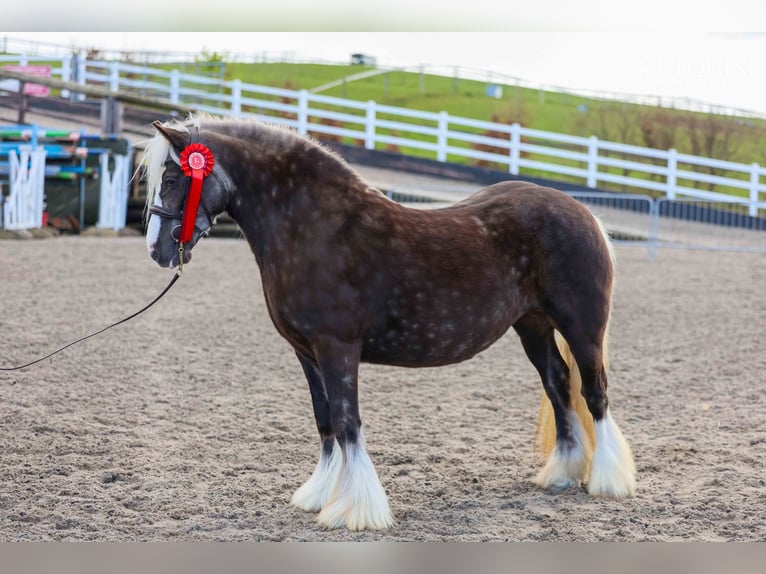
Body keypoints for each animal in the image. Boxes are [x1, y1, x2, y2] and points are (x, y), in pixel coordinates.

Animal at [142, 113, 636, 531]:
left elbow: (347, 421)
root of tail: (585, 214)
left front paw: (357, 510)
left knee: (594, 392)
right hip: (533, 325)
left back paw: (607, 480)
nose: (157, 250)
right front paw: (320, 495)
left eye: (172, 178)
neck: (313, 226)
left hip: (582, 326)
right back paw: (562, 473)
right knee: (557, 383)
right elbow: (325, 420)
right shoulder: (306, 352)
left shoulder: (337, 347)